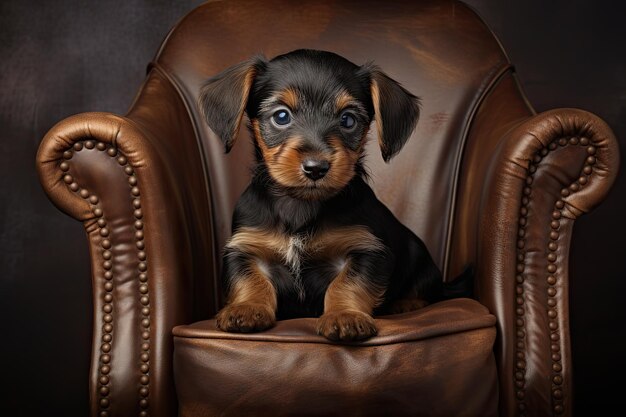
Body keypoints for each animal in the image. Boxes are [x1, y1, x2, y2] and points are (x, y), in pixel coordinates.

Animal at [197, 49, 466, 342]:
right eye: (281, 116)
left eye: (348, 120)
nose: (316, 167)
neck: (301, 204)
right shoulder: (245, 247)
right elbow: (249, 279)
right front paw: (246, 308)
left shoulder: (366, 251)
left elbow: (347, 283)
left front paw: (345, 316)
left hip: (421, 260)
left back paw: (405, 304)